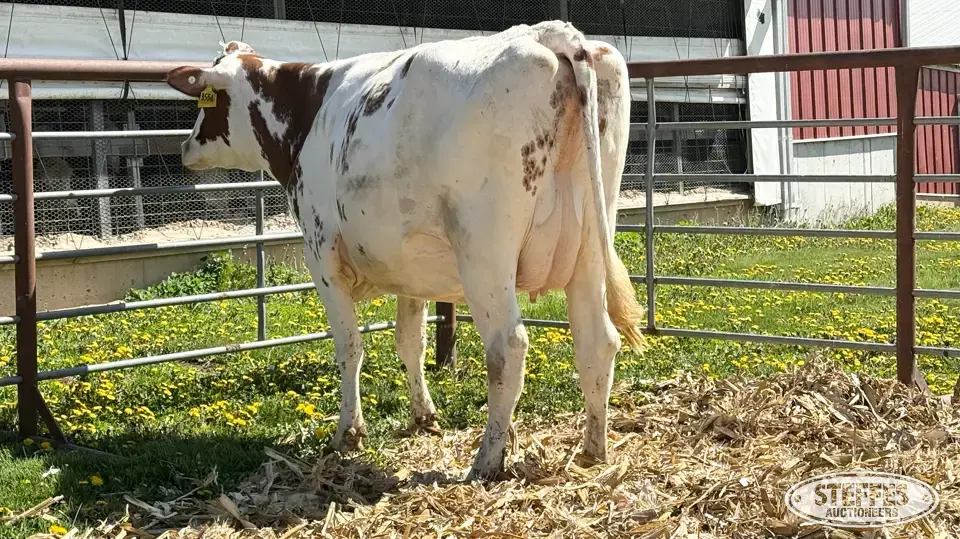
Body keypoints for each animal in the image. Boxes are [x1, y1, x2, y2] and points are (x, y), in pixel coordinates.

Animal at [164, 20, 647, 480]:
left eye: (207, 102)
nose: (184, 147)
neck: (308, 110)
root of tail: (549, 33)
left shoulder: (322, 256)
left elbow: (350, 347)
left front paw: (348, 433)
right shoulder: (411, 267)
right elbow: (409, 342)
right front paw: (423, 416)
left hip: (485, 254)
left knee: (507, 348)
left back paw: (486, 461)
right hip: (590, 246)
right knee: (597, 341)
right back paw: (592, 449)